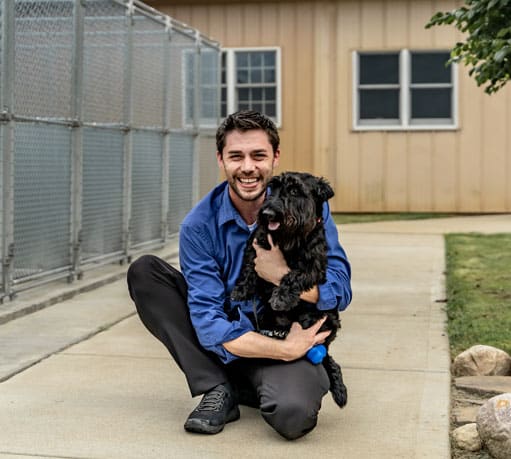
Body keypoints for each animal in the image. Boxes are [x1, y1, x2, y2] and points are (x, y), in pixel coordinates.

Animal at [232, 171, 348, 408]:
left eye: (295, 191)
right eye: (273, 188)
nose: (267, 213)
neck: (289, 238)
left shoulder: (313, 267)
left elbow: (293, 276)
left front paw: (282, 297)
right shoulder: (258, 242)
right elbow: (249, 265)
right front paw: (241, 289)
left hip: (328, 316)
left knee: (323, 354)